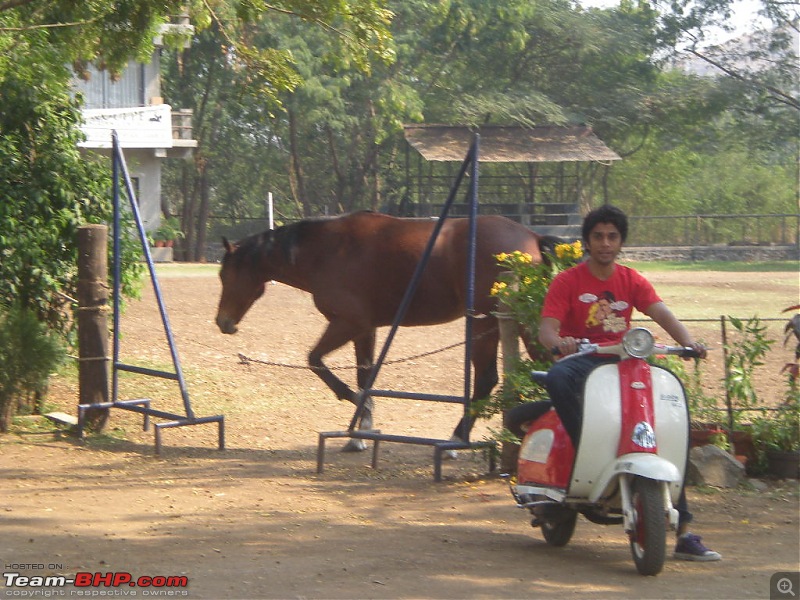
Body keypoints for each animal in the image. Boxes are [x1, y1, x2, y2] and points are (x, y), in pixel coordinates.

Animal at [216, 211, 552, 450]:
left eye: (225, 274)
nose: (223, 322)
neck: (326, 250)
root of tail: (531, 236)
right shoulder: (365, 330)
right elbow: (364, 375)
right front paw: (360, 431)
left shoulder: (348, 323)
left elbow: (316, 361)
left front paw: (357, 409)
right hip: (504, 324)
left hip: (487, 322)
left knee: (489, 379)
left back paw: (458, 440)